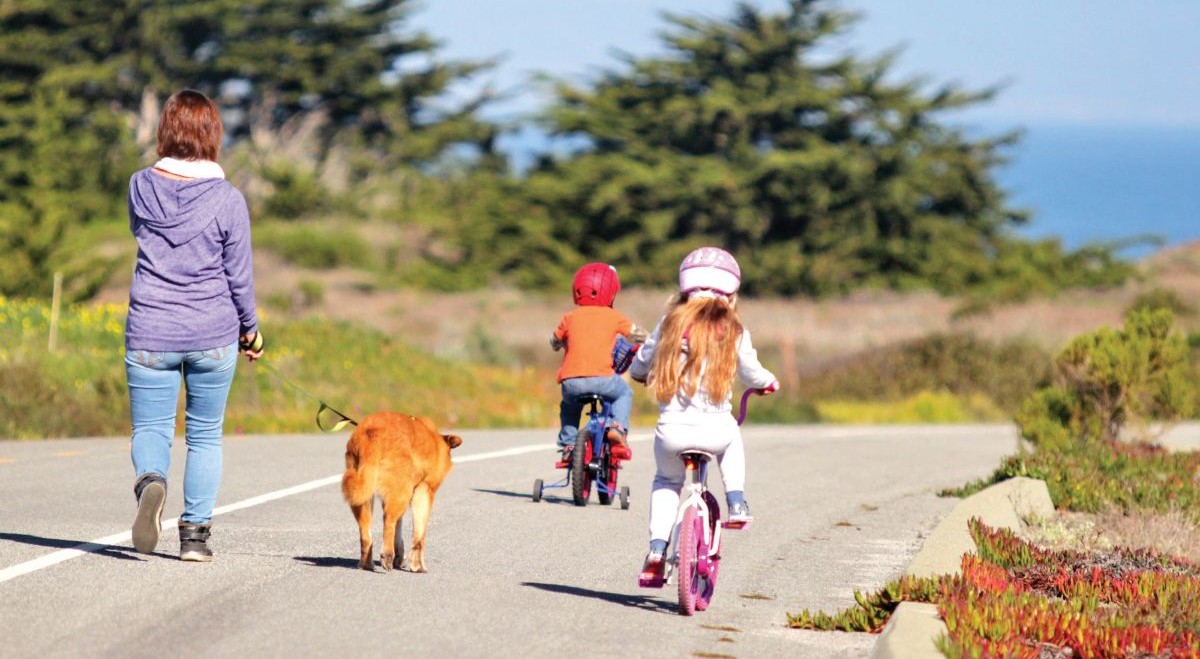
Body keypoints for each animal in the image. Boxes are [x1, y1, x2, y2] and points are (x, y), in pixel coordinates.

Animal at [345, 410, 465, 571]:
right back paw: (387, 556)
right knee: (388, 520)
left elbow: (399, 528)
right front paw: (417, 565)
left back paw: (366, 563)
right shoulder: (424, 491)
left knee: (366, 531)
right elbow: (419, 533)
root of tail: (372, 433)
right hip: (401, 492)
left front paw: (400, 557)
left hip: (364, 492)